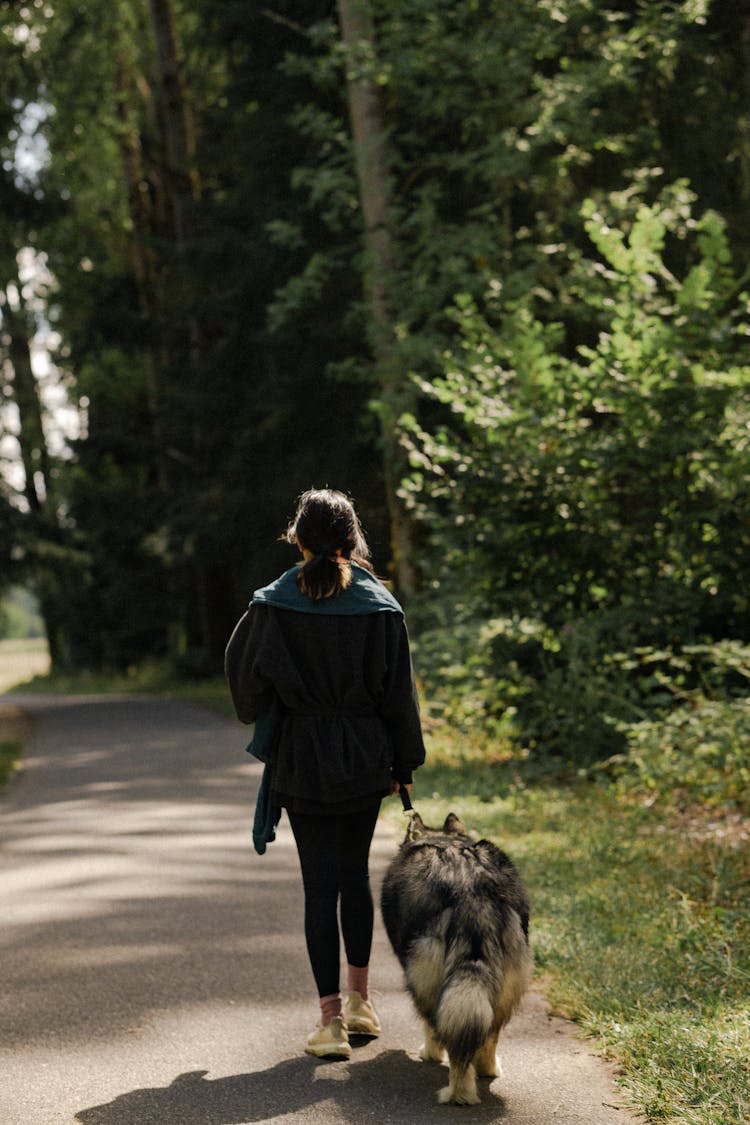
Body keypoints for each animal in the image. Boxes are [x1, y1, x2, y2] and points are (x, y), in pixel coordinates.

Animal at [382, 814, 532, 1102]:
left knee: (442, 1029)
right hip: (505, 982)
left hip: (425, 980)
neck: (444, 839)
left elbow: (431, 1029)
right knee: (489, 1033)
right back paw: (486, 1069)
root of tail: (470, 889)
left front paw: (430, 1054)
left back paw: (458, 1092)